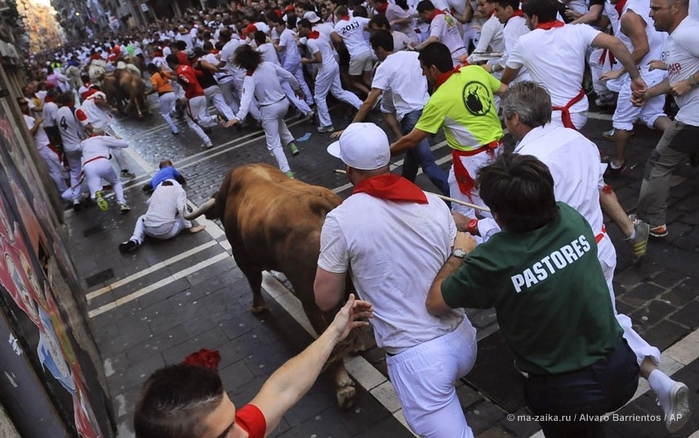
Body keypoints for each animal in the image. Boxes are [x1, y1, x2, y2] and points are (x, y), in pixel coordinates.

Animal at [183, 163, 364, 408]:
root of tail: (319, 204)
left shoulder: (241, 254)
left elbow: (253, 279)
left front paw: (258, 306)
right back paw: (359, 346)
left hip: (311, 296)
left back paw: (344, 388)